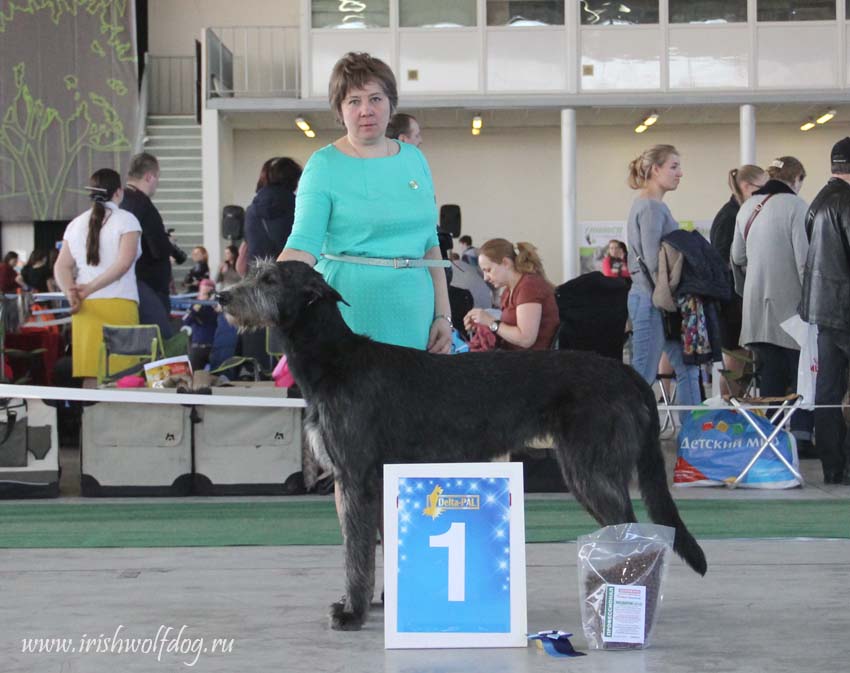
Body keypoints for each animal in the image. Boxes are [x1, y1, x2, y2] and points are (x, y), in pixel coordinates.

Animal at [217, 258, 704, 632]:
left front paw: (352, 613)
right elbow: (368, 548)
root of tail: (626, 373)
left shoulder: (355, 476)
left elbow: (355, 552)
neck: (336, 360)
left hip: (591, 469)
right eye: (255, 272)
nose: (222, 298)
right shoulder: (372, 480)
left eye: (270, 279)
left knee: (636, 534)